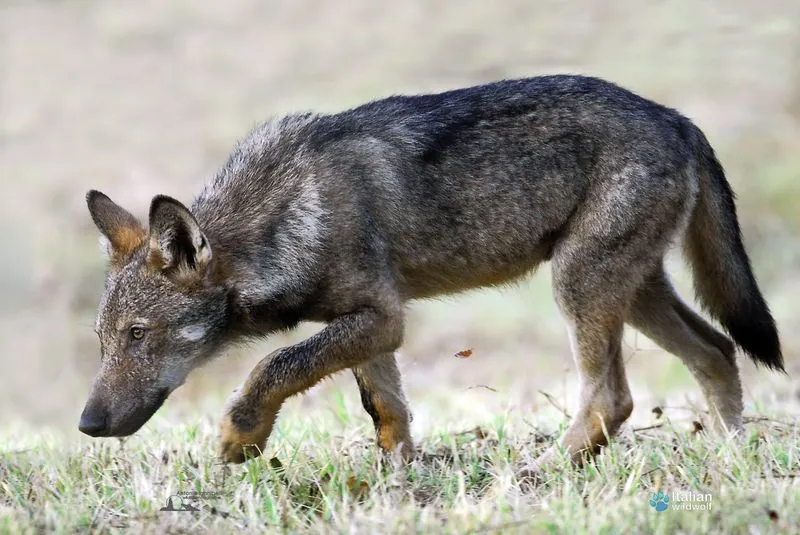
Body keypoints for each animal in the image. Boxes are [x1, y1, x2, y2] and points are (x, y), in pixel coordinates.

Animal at [80, 75, 783, 467]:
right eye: (104, 342)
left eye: (138, 335)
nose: (87, 425)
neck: (286, 214)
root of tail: (680, 119)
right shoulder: (370, 326)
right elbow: (387, 413)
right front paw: (401, 486)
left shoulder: (382, 319)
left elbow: (274, 365)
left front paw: (240, 438)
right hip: (630, 293)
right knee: (716, 351)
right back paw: (733, 458)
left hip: (579, 287)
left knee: (614, 398)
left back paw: (540, 473)